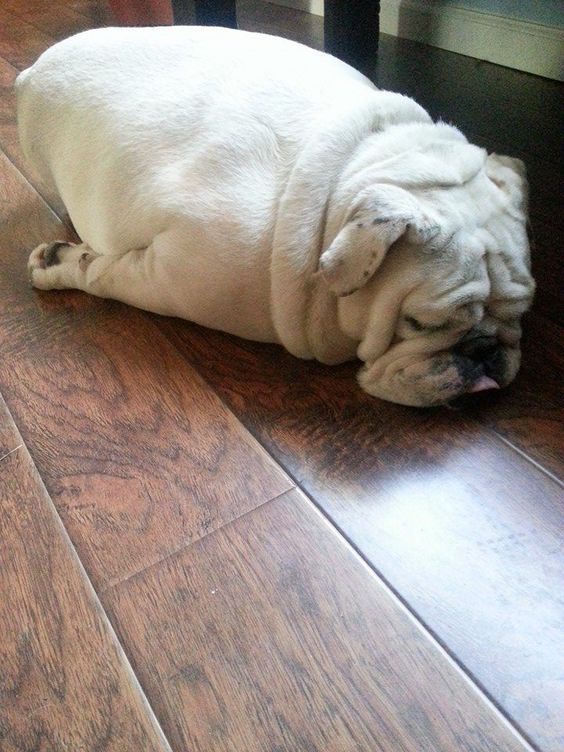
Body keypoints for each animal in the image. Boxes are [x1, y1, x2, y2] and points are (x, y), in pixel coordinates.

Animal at [14, 26, 532, 406]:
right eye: (419, 324)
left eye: (522, 312)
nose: (485, 351)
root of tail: (31, 71)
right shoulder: (170, 277)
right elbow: (101, 272)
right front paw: (60, 263)